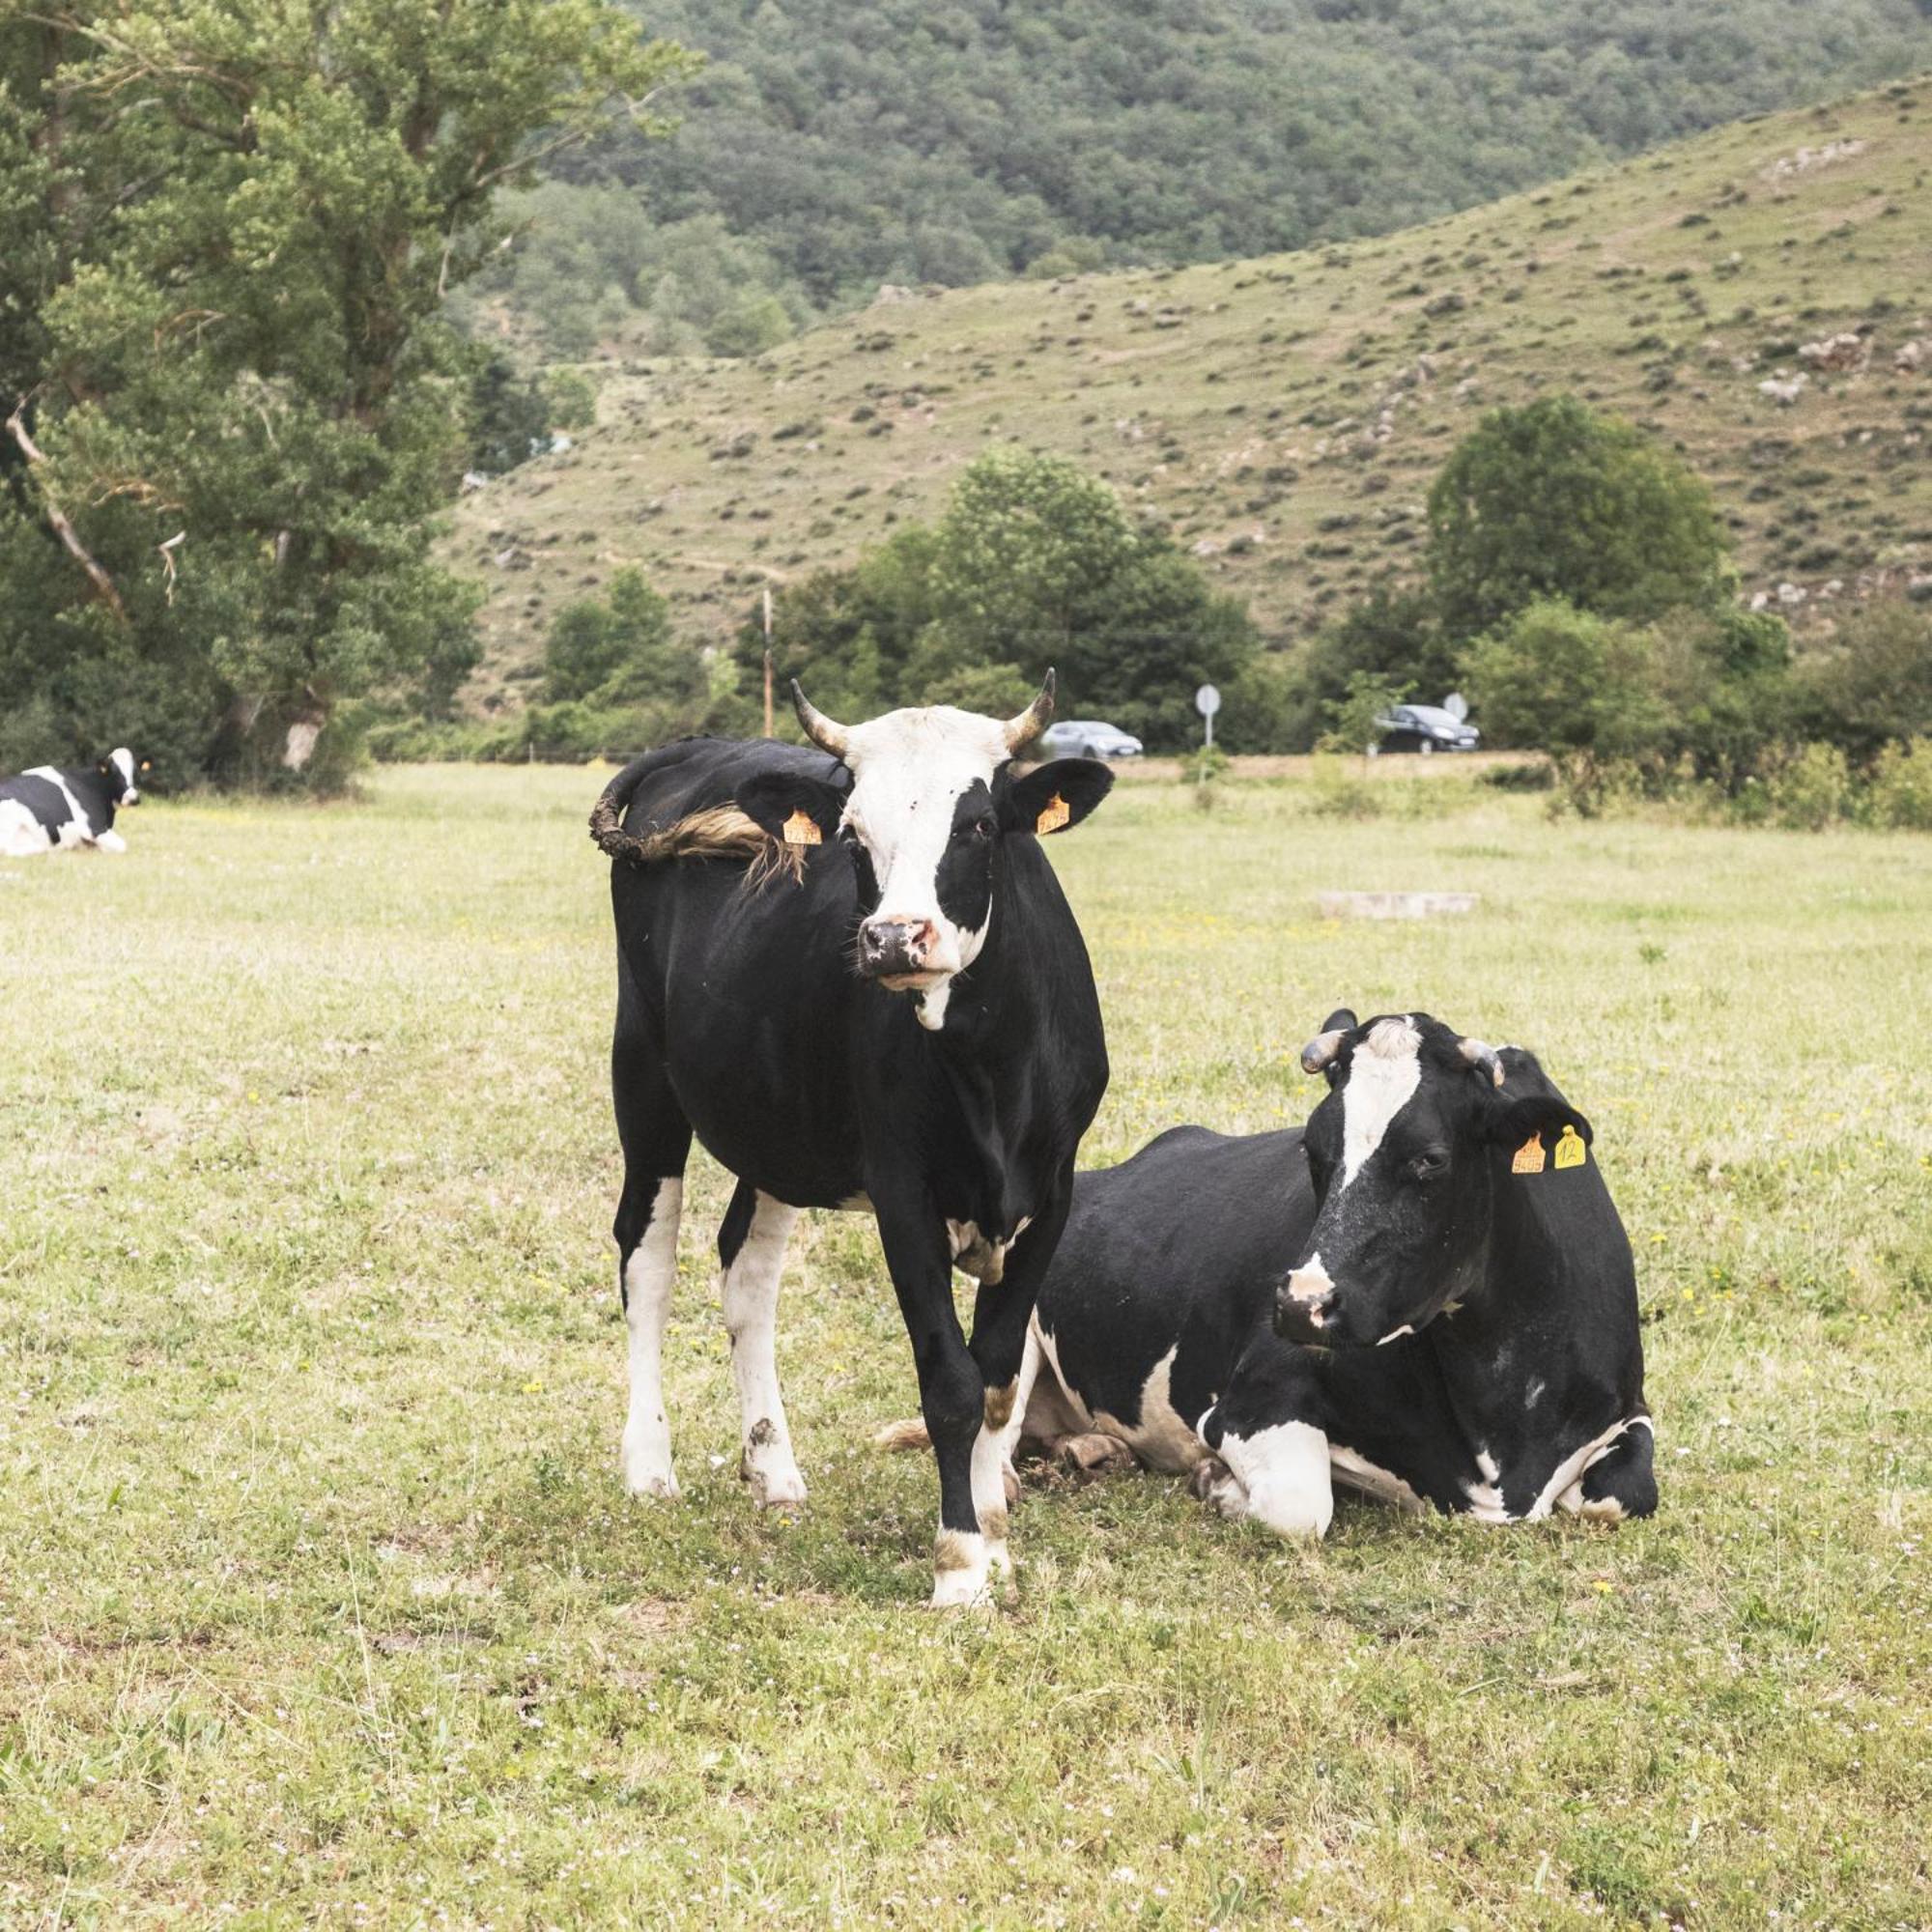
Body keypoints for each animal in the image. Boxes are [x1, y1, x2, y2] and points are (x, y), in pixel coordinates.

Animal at [583, 680, 1121, 1600]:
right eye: (853, 833)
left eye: (979, 823)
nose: (894, 937)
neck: (989, 1069)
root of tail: (696, 746)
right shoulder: (903, 1191)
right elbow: (950, 1382)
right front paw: (960, 1565)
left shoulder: (1052, 1191)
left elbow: (998, 1381)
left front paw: (996, 1535)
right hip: (644, 1072)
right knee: (647, 1259)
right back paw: (649, 1466)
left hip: (779, 1120)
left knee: (746, 1269)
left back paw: (773, 1470)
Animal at [923, 1012, 1662, 1538]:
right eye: (1312, 1148)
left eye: (1430, 1158)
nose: (1302, 1305)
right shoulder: (1247, 1402)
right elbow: (1303, 1508)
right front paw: (1217, 1484)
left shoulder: (1626, 1411)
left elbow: (1626, 1494)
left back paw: (1092, 1449)